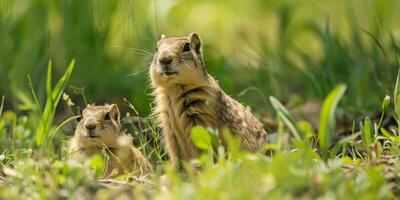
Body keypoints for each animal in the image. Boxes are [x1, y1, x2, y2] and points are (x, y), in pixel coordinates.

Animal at [150, 32, 268, 167]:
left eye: (187, 46)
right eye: (156, 47)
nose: (164, 59)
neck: (174, 88)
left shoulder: (200, 119)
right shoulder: (168, 126)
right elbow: (175, 152)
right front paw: (175, 169)